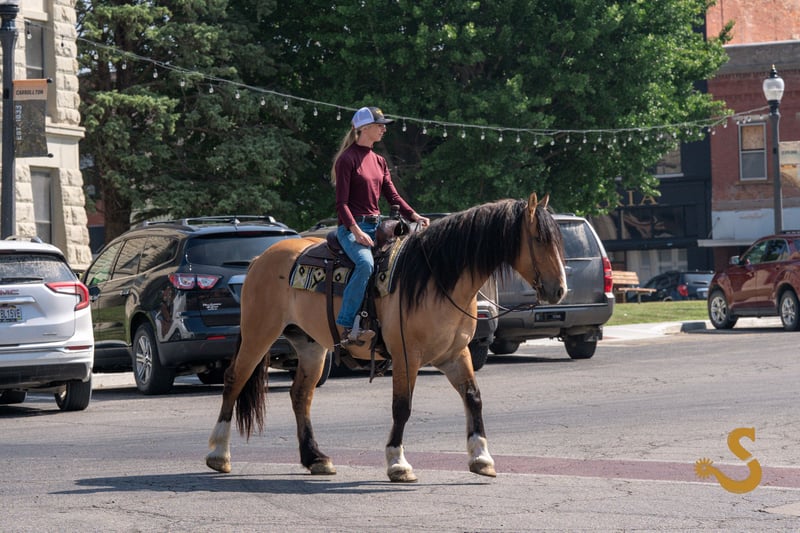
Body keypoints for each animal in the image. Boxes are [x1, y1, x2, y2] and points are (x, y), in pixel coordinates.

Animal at [206, 192, 567, 482]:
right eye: (539, 238)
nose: (559, 289)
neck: (436, 280)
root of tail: (259, 258)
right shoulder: (407, 356)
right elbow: (402, 406)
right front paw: (398, 463)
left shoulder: (455, 354)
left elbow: (473, 398)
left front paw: (481, 458)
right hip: (259, 333)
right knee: (234, 379)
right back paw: (218, 455)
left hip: (311, 346)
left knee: (300, 396)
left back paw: (315, 458)